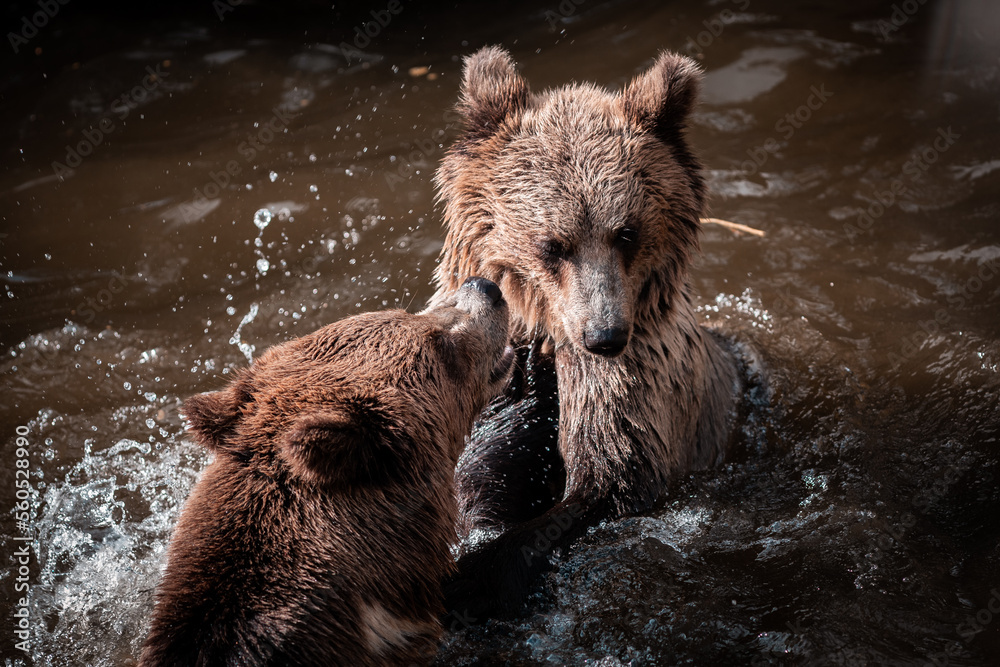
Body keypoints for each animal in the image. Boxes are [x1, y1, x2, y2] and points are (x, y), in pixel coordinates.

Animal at [430, 47, 744, 620]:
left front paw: (481, 574)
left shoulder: (637, 387)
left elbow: (609, 482)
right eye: (553, 245)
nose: (605, 335)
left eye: (627, 232)